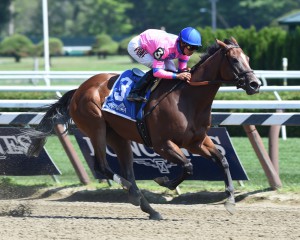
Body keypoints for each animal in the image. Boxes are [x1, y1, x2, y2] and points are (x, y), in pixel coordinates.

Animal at [25, 37, 260, 219]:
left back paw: (149, 208)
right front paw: (164, 181)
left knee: (127, 171)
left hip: (118, 137)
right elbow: (188, 166)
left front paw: (230, 200)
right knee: (103, 167)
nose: (255, 84)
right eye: (234, 59)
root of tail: (79, 89)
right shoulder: (162, 144)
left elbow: (222, 160)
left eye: (248, 59)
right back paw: (133, 193)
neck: (188, 99)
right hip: (96, 127)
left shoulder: (196, 141)